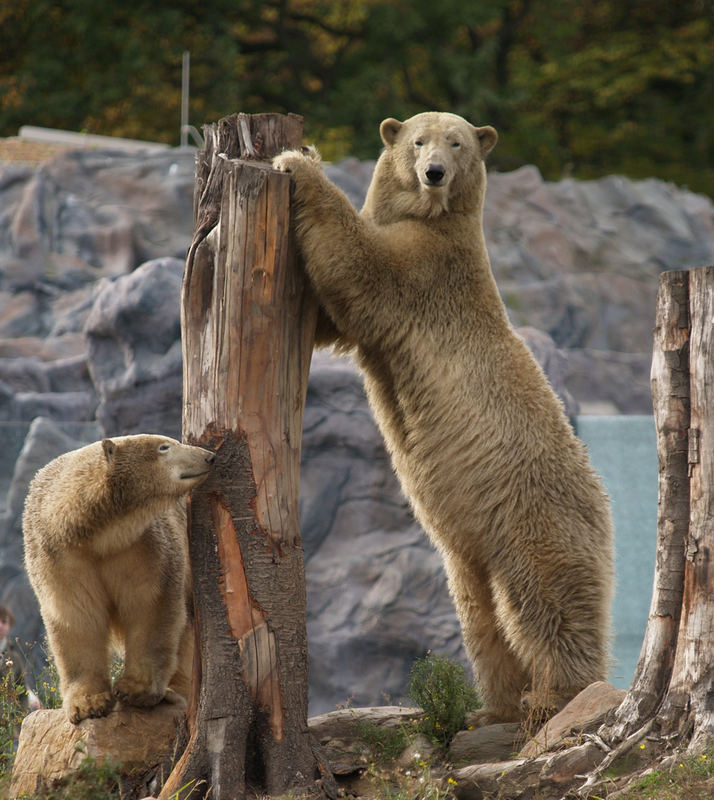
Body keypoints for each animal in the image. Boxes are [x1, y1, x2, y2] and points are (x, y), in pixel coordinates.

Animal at [23, 434, 213, 720]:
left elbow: (150, 606)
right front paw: (88, 703)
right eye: (164, 447)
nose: (209, 456)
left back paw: (175, 691)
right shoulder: (60, 558)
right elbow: (77, 616)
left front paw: (136, 690)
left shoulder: (143, 548)